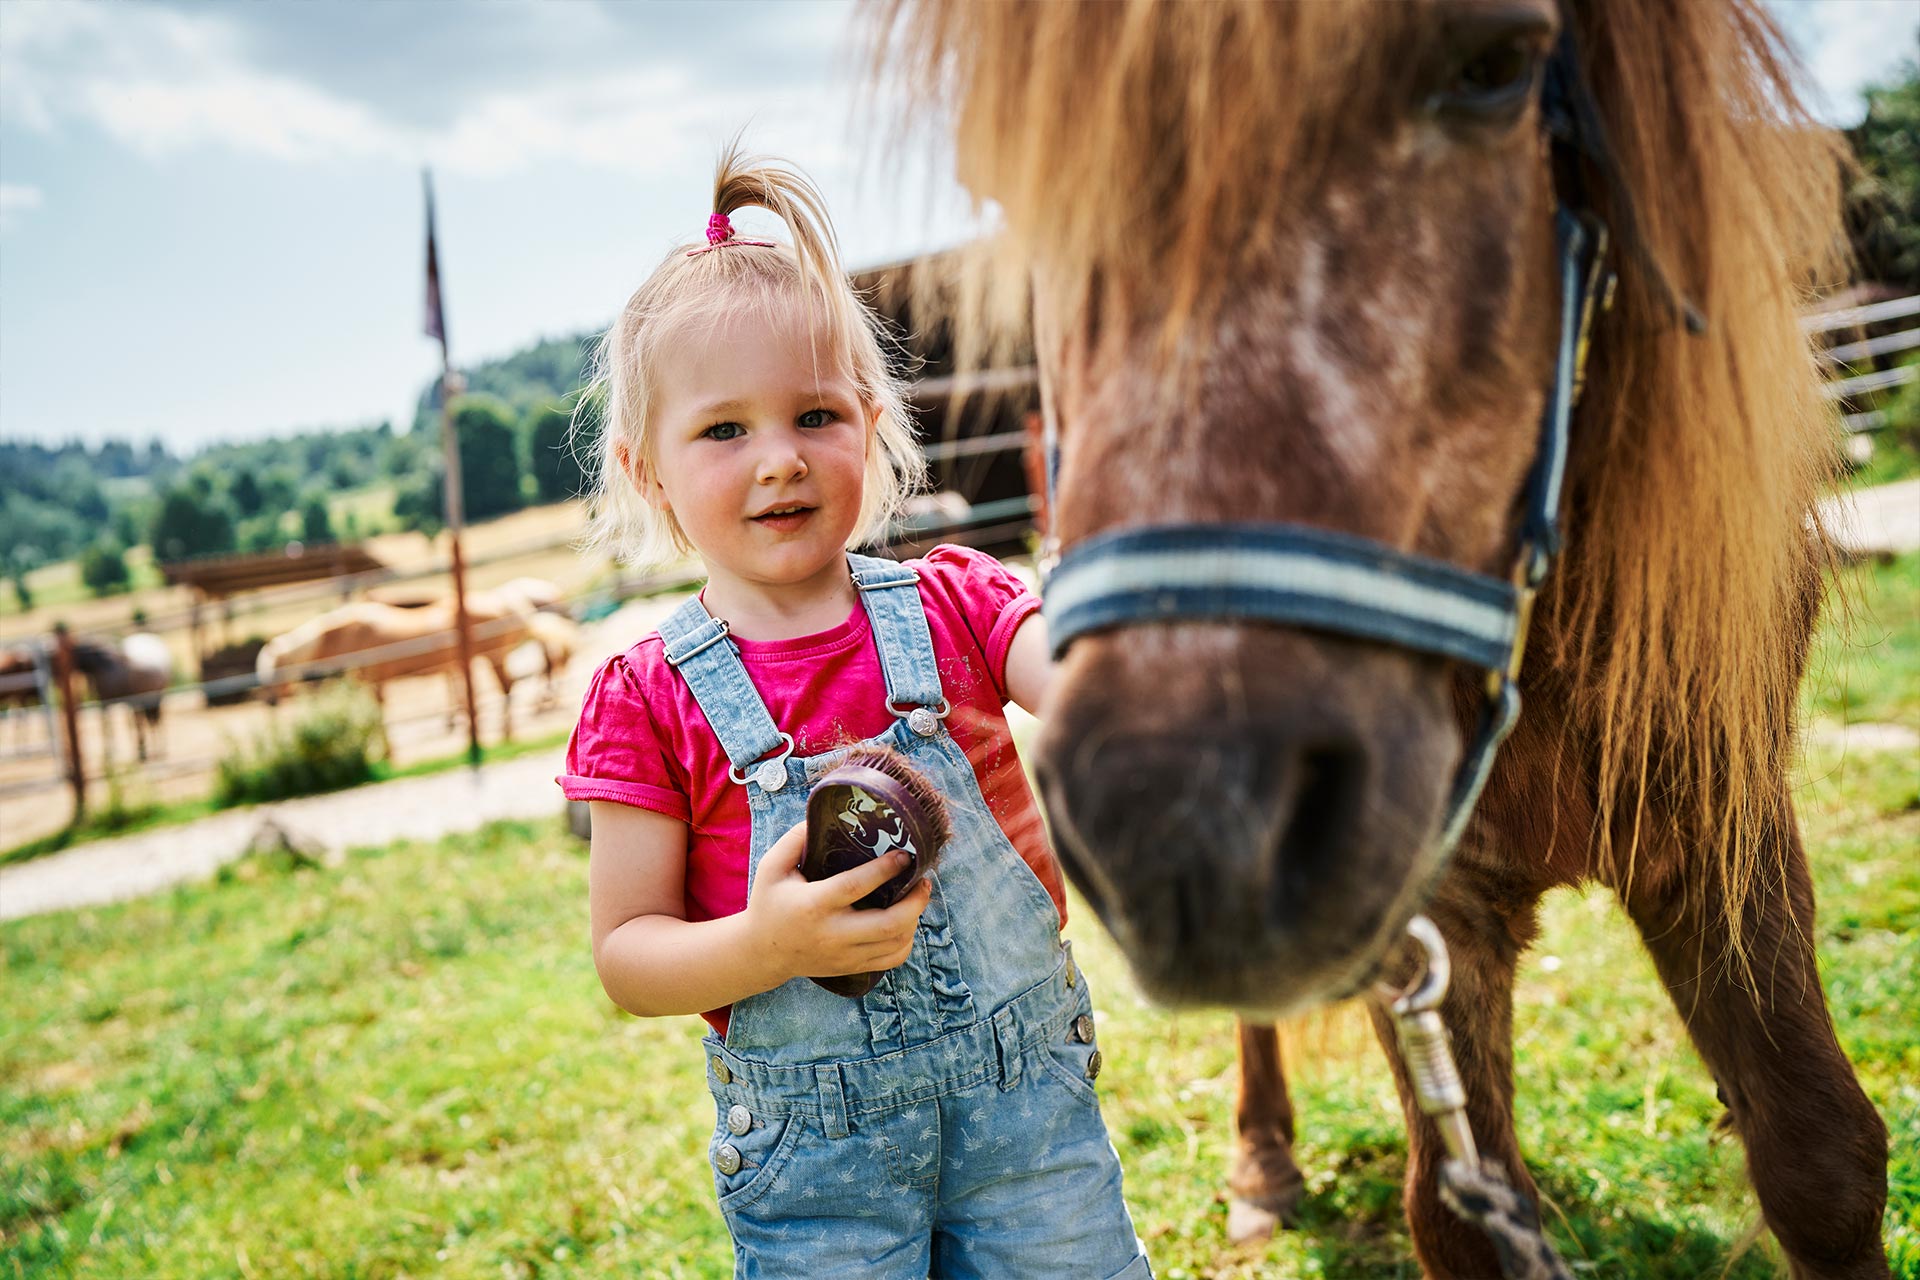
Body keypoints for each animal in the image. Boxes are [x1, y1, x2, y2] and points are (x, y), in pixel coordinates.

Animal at [69, 633, 174, 763]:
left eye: (78, 650)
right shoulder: (106, 703)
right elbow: (108, 726)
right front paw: (111, 755)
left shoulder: (132, 701)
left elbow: (135, 724)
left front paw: (141, 752)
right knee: (151, 720)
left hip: (157, 696)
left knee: (156, 720)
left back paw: (159, 749)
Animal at [256, 588, 537, 739]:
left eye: (274, 670)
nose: (269, 702)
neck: (347, 634)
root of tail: (509, 608)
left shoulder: (376, 680)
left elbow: (380, 713)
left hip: (494, 658)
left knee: (506, 687)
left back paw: (506, 733)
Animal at [878, 2, 1888, 1276]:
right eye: (1014, 182)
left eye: (1495, 67)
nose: (1186, 821)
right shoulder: (1423, 912)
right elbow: (1457, 1208)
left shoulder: (1727, 822)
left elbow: (1818, 1150)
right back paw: (1263, 1161)